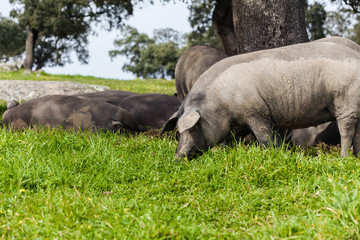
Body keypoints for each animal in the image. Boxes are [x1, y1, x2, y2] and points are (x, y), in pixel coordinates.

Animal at [165, 42, 360, 159]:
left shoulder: (256, 111)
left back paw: (343, 158)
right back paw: (356, 157)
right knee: (357, 133)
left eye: (192, 128)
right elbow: (230, 140)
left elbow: (264, 136)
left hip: (346, 103)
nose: (177, 158)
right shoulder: (236, 123)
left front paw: (273, 153)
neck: (219, 102)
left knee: (346, 132)